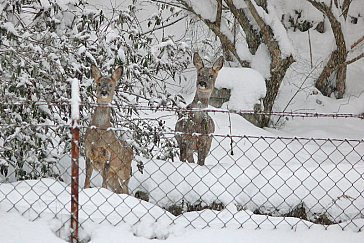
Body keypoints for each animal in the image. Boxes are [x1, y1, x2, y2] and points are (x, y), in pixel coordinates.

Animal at [84, 64, 134, 194]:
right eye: (99, 83)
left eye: (111, 85)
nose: (104, 92)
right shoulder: (88, 154)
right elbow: (87, 179)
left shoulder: (108, 156)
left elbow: (104, 184)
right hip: (113, 174)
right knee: (119, 188)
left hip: (125, 171)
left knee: (125, 189)